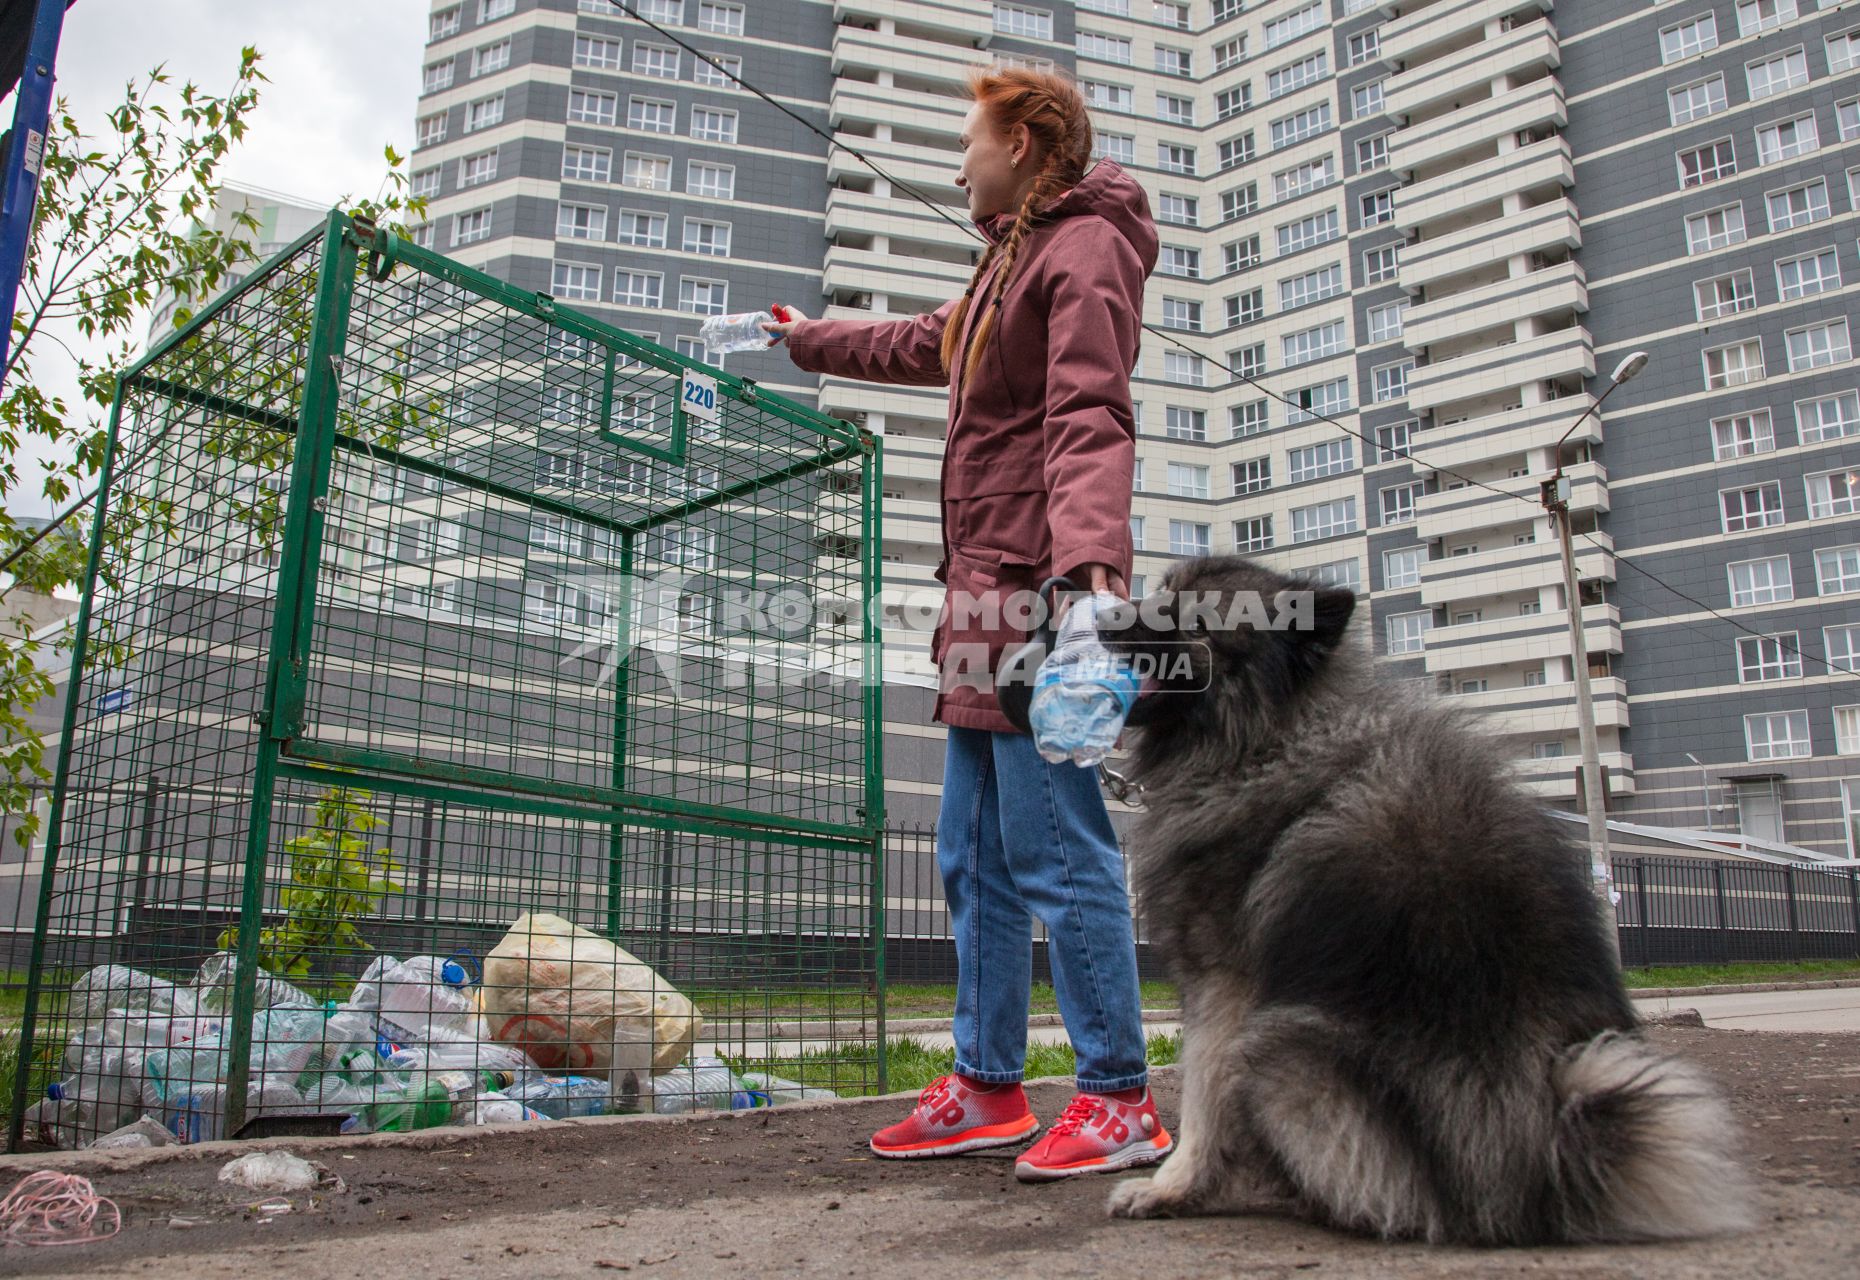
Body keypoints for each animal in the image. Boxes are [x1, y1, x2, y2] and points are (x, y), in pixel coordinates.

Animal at [1093, 558, 1748, 1242]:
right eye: (1162, 591)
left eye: (1192, 622)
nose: (1100, 613)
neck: (1269, 744)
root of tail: (1542, 1151)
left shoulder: (1226, 983)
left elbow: (1204, 1093)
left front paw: (1174, 1187)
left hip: (1281, 1048)